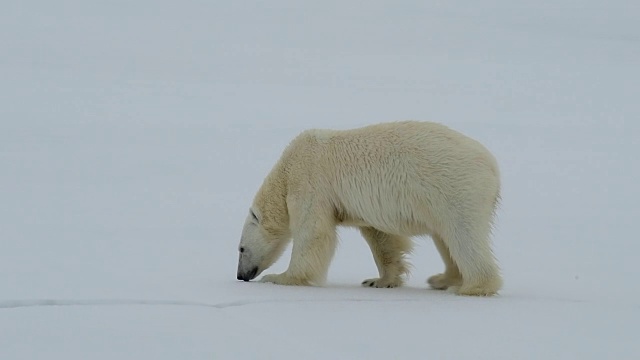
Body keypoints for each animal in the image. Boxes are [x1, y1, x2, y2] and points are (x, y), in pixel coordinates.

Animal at [238, 120, 502, 296]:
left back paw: (471, 287)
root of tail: (492, 166)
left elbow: (313, 234)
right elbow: (381, 238)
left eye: (240, 249)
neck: (285, 173)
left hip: (454, 187)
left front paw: (280, 277)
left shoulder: (310, 181)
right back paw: (442, 279)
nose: (241, 276)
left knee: (463, 235)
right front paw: (379, 280)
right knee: (444, 237)